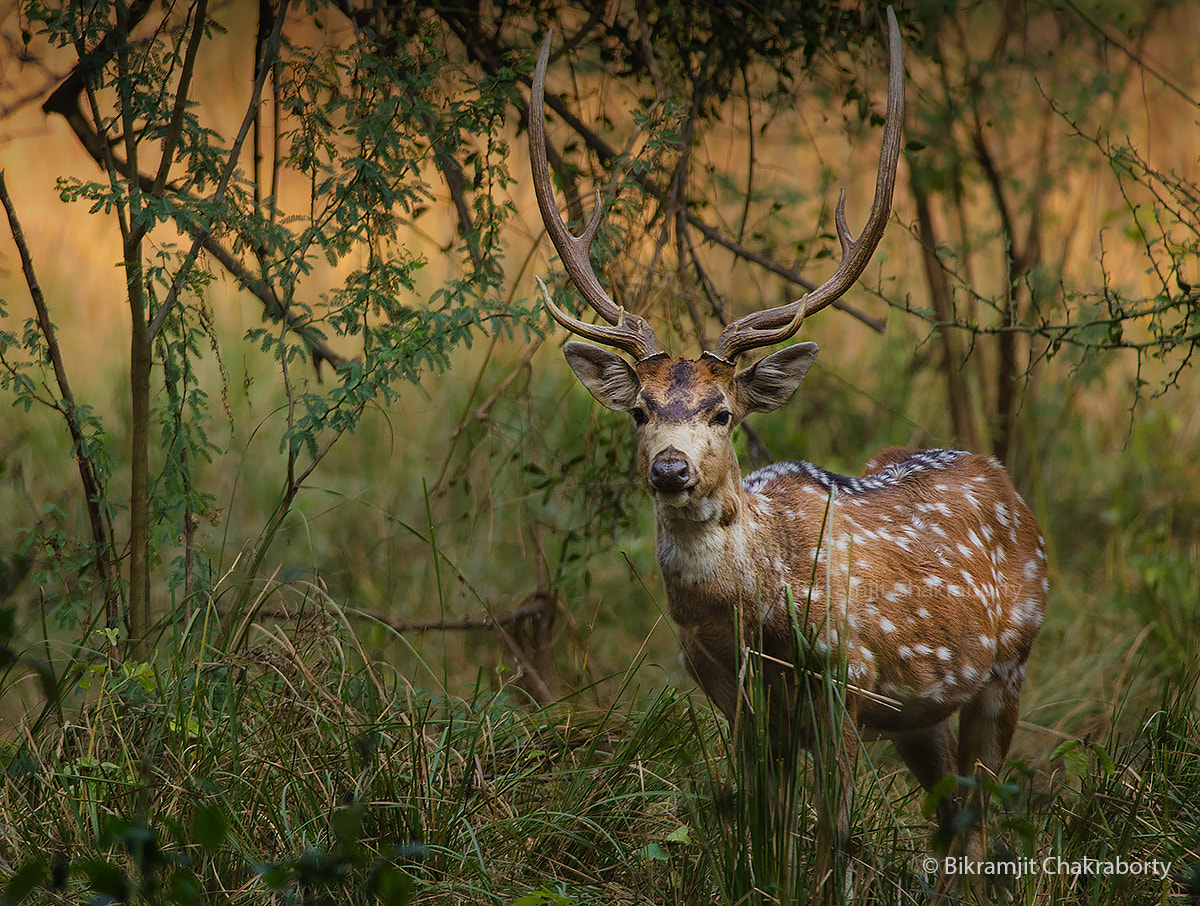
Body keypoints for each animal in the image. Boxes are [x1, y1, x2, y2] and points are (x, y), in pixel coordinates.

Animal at [525, 8, 1041, 892]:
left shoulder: (846, 683)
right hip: (923, 713)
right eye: (639, 411)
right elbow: (760, 826)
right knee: (949, 816)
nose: (671, 468)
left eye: (723, 412)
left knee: (979, 822)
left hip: (1007, 667)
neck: (753, 621)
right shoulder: (731, 699)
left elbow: (831, 839)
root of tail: (1004, 479)